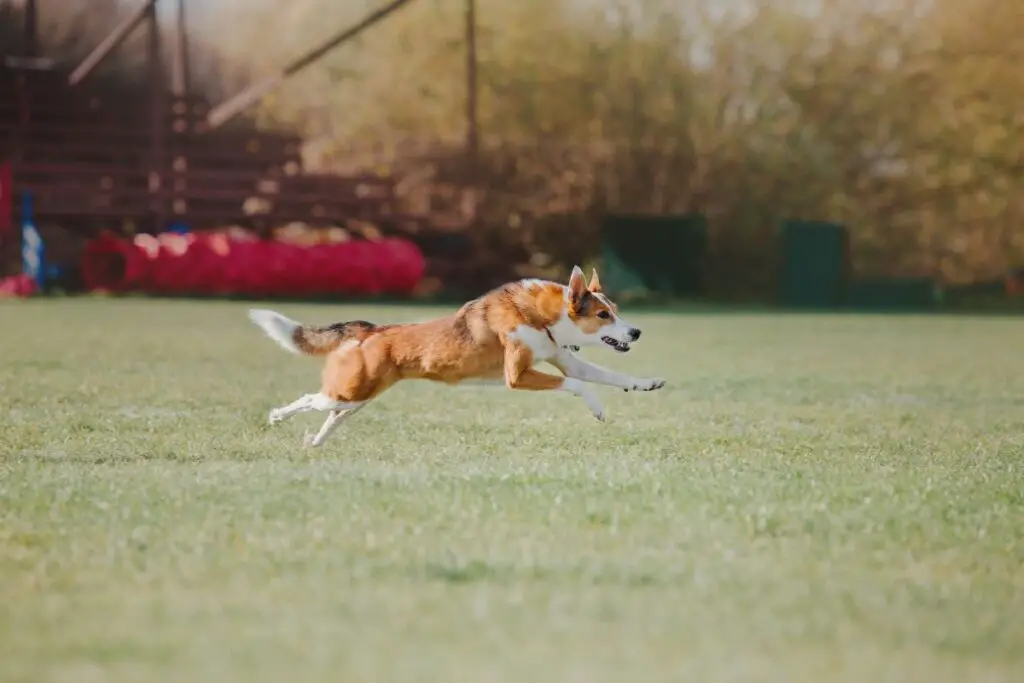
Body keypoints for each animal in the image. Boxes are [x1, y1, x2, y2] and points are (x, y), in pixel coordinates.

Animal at [246, 264, 663, 446]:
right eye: (603, 315)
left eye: (616, 310)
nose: (636, 332)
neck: (542, 315)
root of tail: (370, 330)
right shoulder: (518, 375)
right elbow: (578, 385)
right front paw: (598, 409)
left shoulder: (564, 357)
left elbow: (609, 376)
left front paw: (647, 383)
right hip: (348, 392)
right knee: (308, 399)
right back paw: (276, 417)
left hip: (357, 399)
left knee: (329, 416)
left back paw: (313, 443)